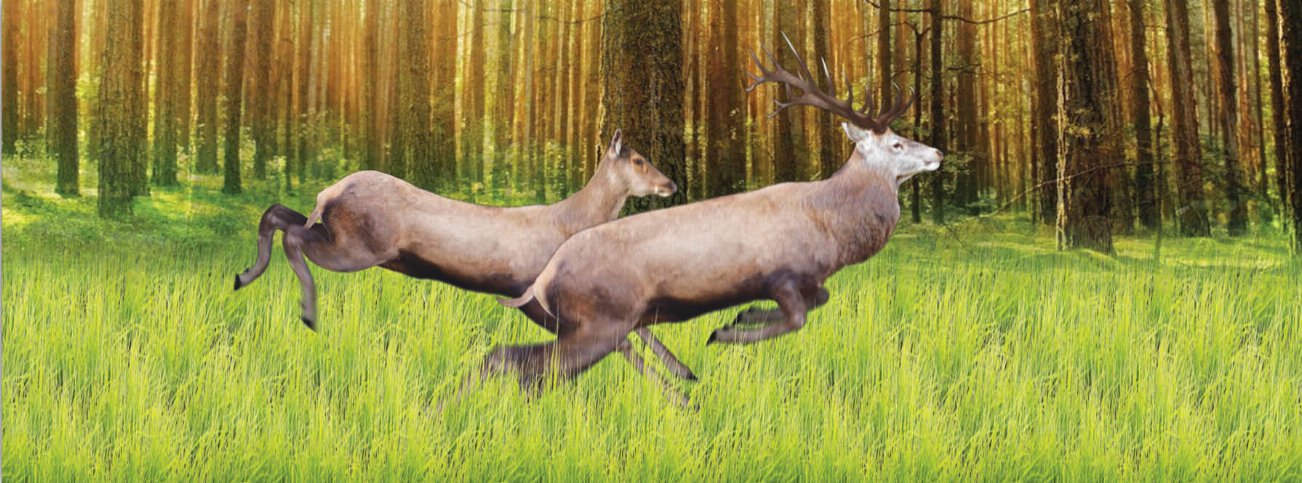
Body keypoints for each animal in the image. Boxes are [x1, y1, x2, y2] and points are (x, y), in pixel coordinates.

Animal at [232, 131, 699, 380]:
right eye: (639, 159)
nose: (672, 184)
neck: (573, 223)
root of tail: (329, 191)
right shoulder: (534, 292)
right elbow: (623, 339)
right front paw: (679, 387)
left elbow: (640, 327)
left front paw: (685, 372)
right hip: (358, 245)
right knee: (292, 234)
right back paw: (307, 310)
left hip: (339, 232)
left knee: (277, 215)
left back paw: (244, 276)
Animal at [491, 38, 942, 393]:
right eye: (897, 144)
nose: (938, 152)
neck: (831, 229)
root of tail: (543, 278)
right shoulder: (780, 273)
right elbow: (796, 319)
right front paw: (722, 332)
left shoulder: (810, 279)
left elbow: (820, 301)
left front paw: (743, 314)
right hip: (601, 319)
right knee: (521, 364)